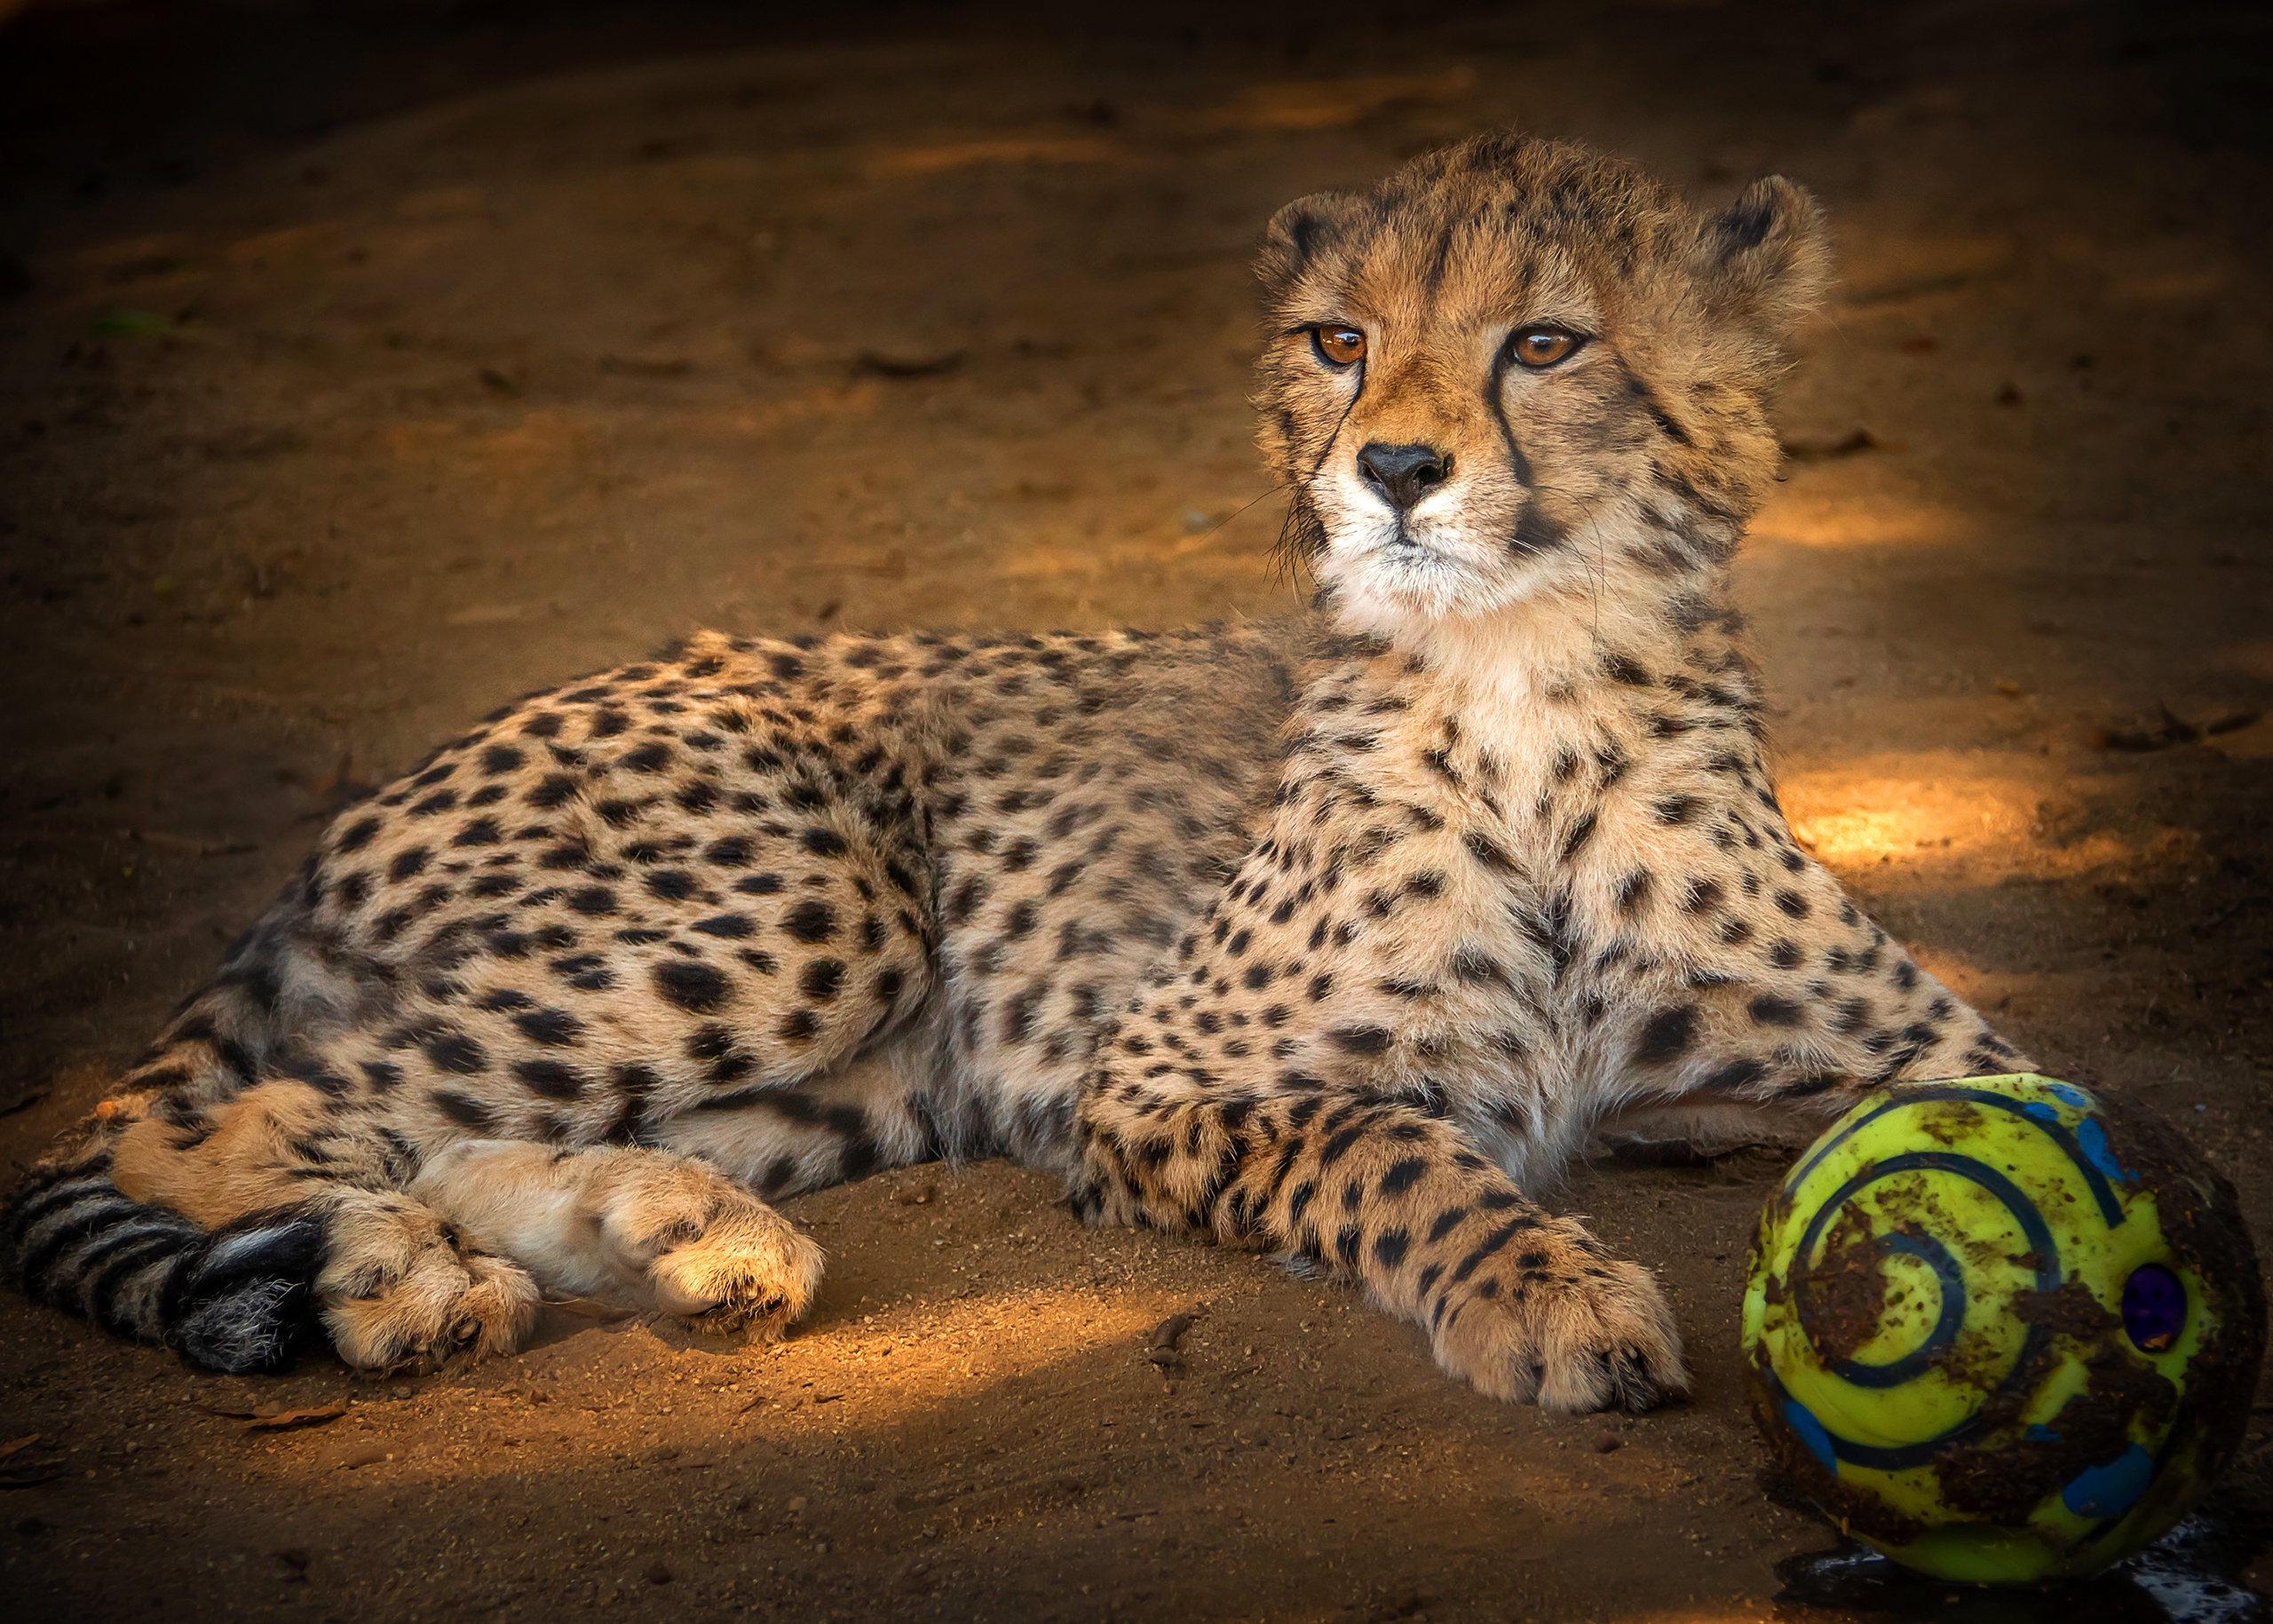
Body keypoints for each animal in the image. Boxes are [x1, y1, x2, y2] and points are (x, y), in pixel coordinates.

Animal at [0, 136, 2027, 1400]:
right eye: (1339, 341)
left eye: (1545, 341)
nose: (1389, 467)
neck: (1527, 691)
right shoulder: (1147, 1077)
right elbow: (1388, 1140)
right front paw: (1548, 1287)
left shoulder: (1950, 1055)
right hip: (817, 905)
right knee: (210, 1117)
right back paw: (391, 1270)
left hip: (865, 1077)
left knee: (400, 1114)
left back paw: (673, 1229)